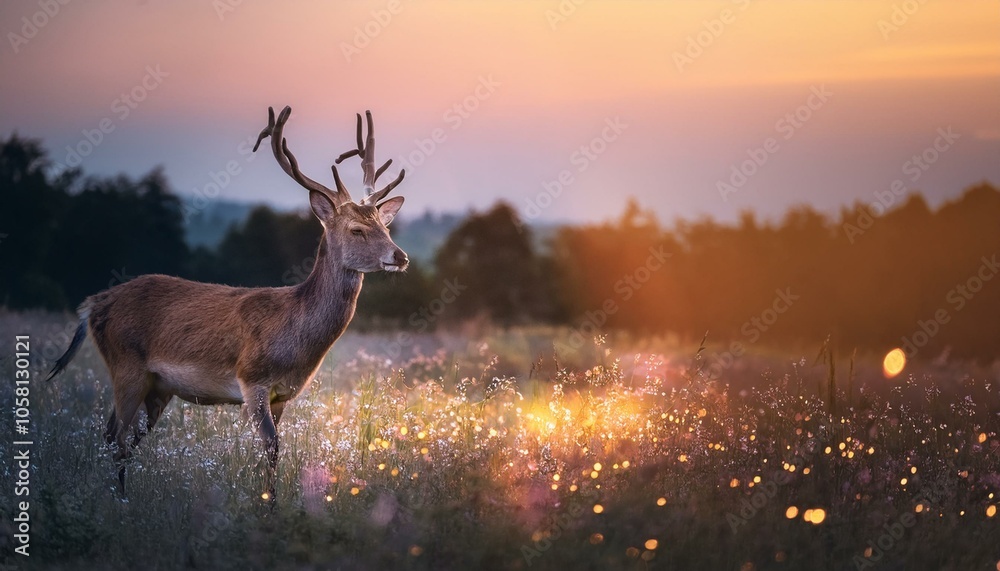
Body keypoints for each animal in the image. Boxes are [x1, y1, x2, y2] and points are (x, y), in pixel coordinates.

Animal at [45, 105, 408, 501]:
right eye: (357, 230)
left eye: (386, 228)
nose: (400, 256)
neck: (294, 333)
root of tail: (92, 304)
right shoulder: (252, 380)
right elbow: (271, 448)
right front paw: (267, 505)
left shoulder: (283, 395)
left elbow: (274, 450)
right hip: (126, 364)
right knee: (114, 435)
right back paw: (120, 501)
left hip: (158, 387)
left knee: (123, 438)